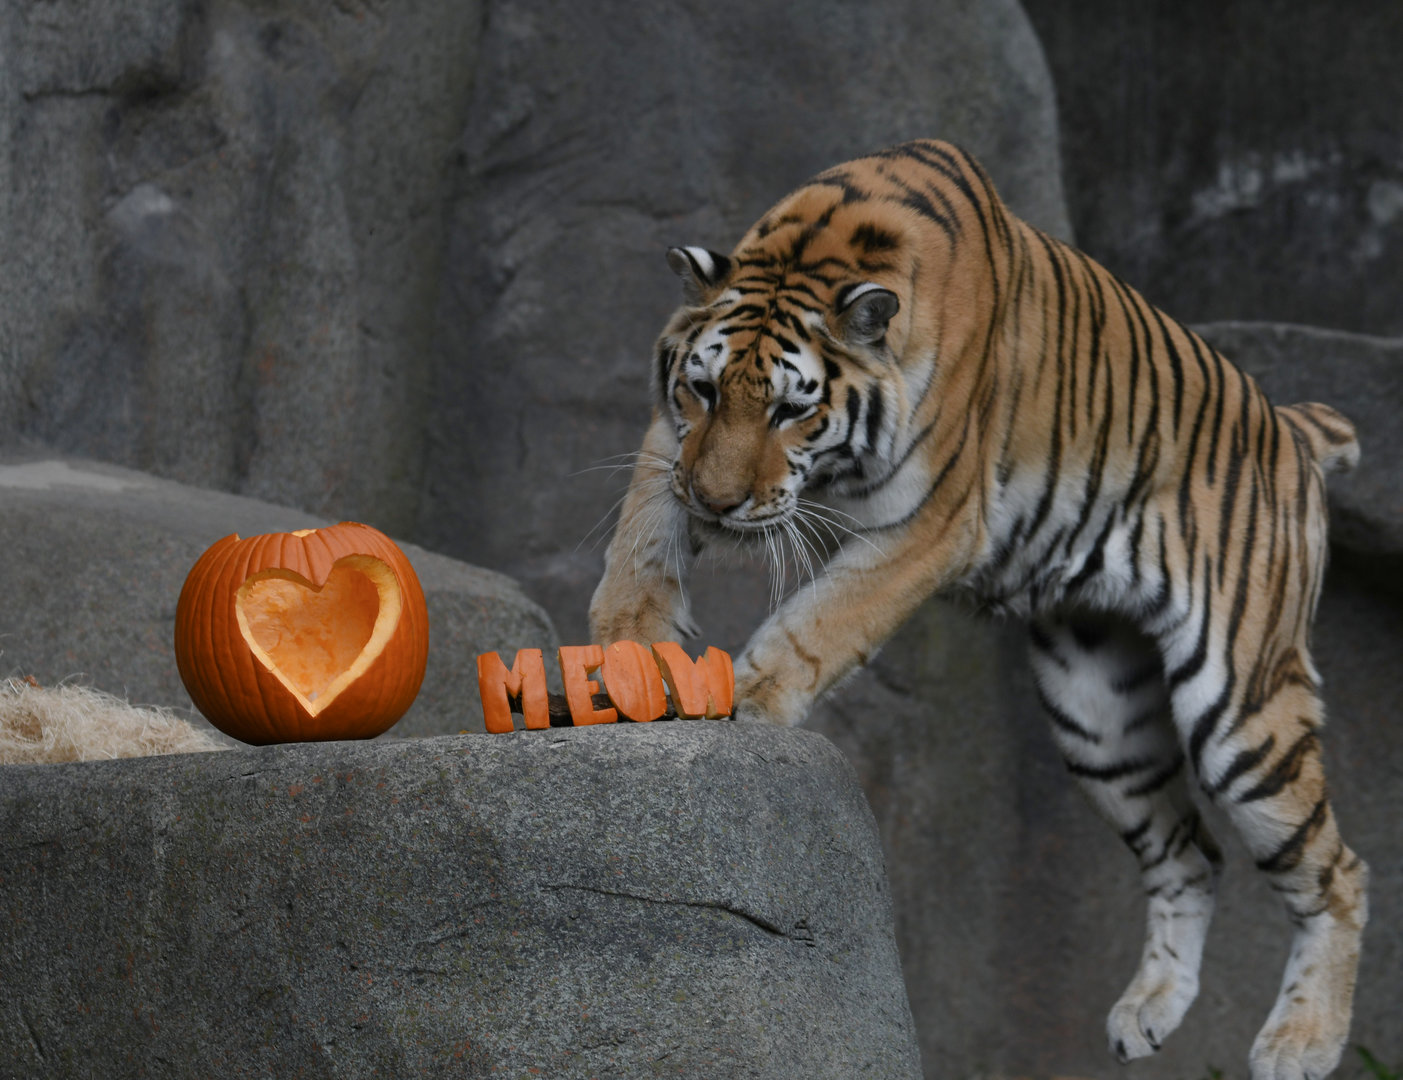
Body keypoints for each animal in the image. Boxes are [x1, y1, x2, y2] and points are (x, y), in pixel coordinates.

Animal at [588, 139, 1367, 1080]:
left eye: (790, 409)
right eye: (703, 391)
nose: (718, 502)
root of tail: (1290, 427)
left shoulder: (930, 520)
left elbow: (820, 621)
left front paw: (745, 698)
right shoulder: (670, 444)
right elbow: (641, 540)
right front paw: (624, 651)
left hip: (1239, 714)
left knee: (1337, 871)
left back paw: (1301, 1042)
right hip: (1099, 722)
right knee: (1190, 855)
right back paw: (1145, 1013)